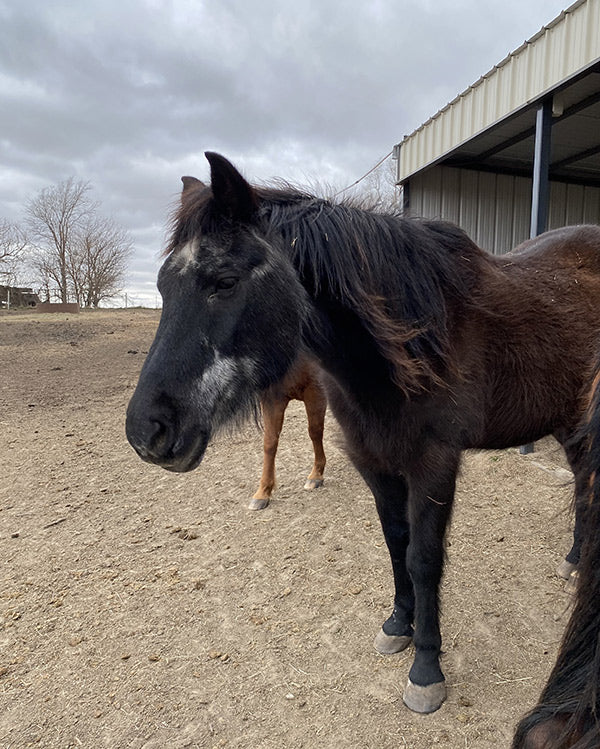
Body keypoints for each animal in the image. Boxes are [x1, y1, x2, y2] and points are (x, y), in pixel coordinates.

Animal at [250, 356, 328, 508]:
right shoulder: (272, 398)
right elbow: (270, 443)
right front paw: (263, 492)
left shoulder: (315, 389)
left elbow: (315, 431)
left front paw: (316, 475)